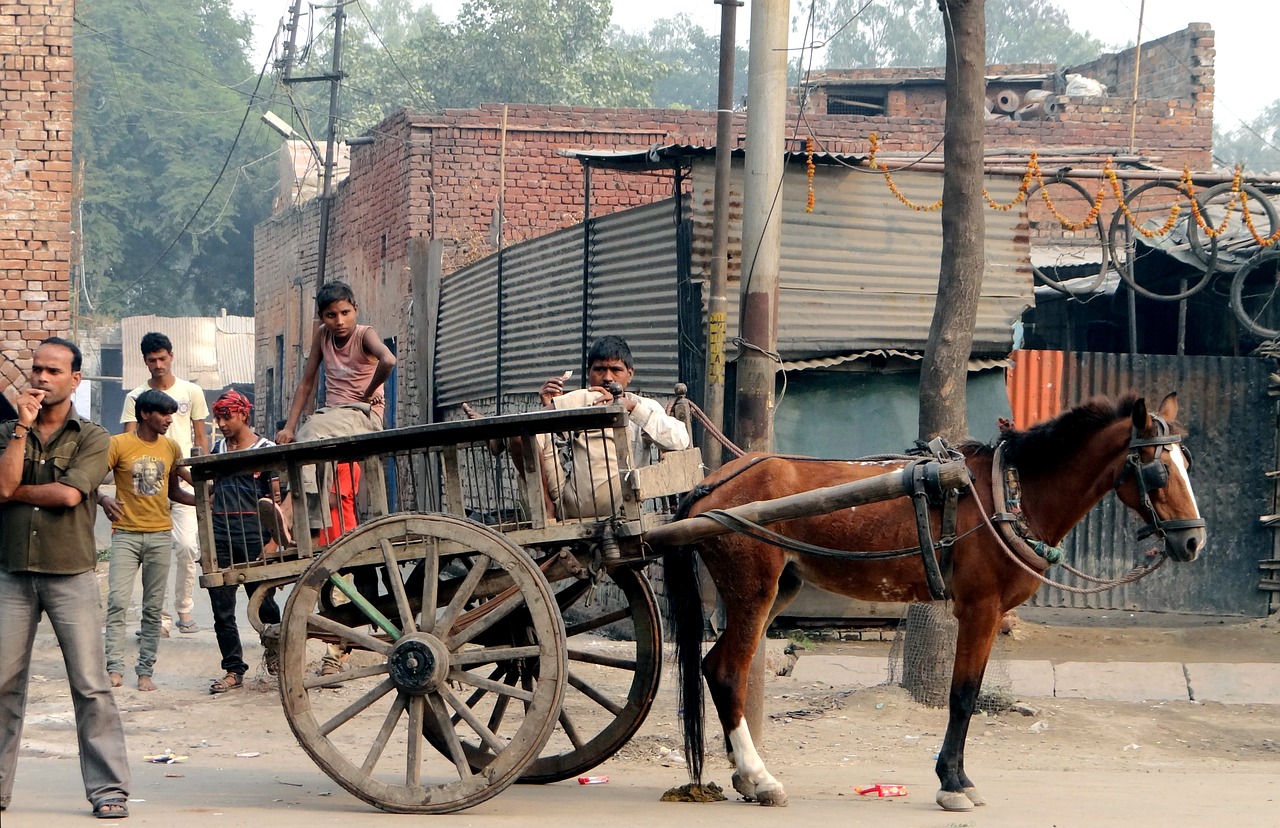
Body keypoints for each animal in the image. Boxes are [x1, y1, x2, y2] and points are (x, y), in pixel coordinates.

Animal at [665, 394, 1203, 808]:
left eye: (1187, 463)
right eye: (1158, 470)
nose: (1194, 541)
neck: (1007, 495)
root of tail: (709, 487)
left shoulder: (990, 614)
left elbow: (971, 692)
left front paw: (959, 777)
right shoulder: (980, 609)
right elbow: (962, 696)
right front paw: (952, 784)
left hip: (781, 588)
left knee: (714, 665)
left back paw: (743, 776)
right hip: (753, 589)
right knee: (728, 671)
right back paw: (760, 778)